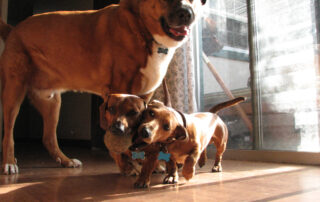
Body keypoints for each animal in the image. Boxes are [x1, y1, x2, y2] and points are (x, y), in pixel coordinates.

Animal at [0, 0, 206, 174]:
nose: (187, 14)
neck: (141, 28)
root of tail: (14, 29)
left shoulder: (144, 98)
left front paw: (147, 163)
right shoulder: (120, 94)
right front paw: (127, 166)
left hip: (52, 102)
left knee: (48, 138)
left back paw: (66, 161)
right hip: (13, 93)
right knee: (8, 134)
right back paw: (9, 163)